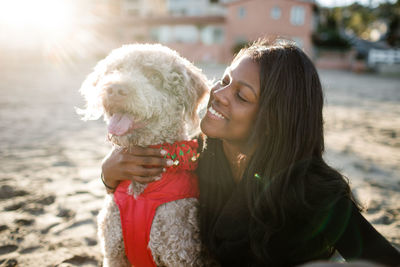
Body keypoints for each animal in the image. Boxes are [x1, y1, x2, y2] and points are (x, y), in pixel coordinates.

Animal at [79, 44, 214, 267]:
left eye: (154, 76)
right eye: (115, 69)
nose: (115, 89)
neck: (140, 192)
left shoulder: (180, 255)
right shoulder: (113, 253)